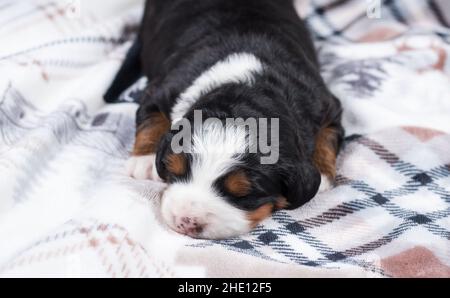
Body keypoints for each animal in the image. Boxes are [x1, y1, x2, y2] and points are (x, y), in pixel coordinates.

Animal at [105, 0, 344, 239]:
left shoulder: (324, 104)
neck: (248, 86)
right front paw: (144, 161)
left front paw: (322, 173)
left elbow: (328, 137)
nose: (186, 221)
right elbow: (151, 119)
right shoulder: (162, 90)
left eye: (242, 194)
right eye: (174, 171)